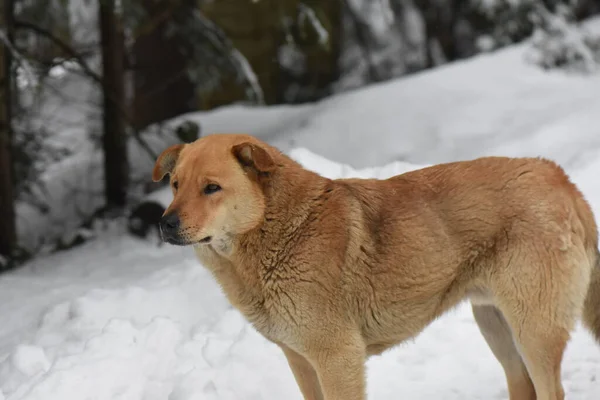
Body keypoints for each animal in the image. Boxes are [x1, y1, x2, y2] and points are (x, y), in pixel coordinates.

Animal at [152, 133, 596, 398]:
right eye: (175, 185)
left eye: (212, 188)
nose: (165, 223)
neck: (279, 230)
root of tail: (558, 176)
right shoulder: (300, 360)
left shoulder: (338, 358)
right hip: (496, 327)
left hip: (534, 330)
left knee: (551, 390)